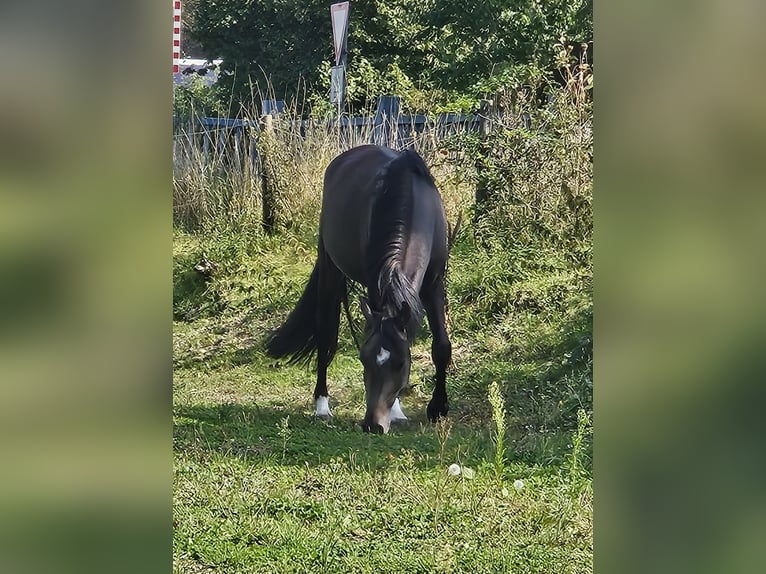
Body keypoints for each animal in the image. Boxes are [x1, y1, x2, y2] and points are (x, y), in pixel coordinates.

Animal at [268, 146, 452, 434]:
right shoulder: (376, 286)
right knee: (324, 334)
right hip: (330, 267)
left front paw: (438, 408)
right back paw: (322, 406)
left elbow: (441, 346)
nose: (372, 425)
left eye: (401, 363)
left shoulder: (433, 282)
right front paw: (398, 411)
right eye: (363, 360)